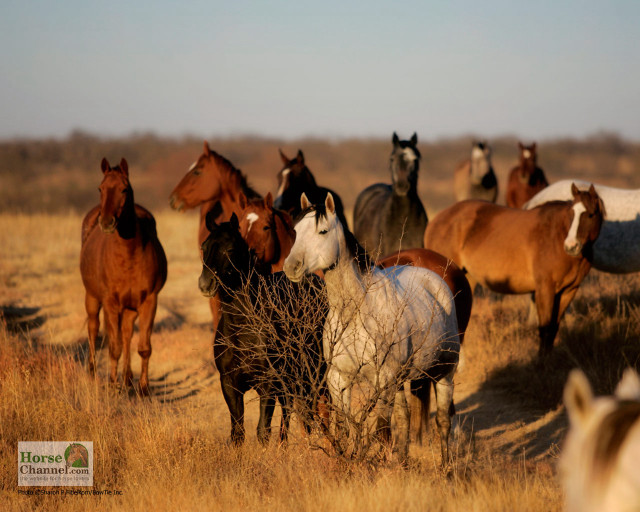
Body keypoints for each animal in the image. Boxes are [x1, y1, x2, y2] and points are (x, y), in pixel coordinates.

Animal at [80, 158, 167, 395]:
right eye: (100, 188)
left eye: (124, 189)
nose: (107, 222)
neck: (128, 255)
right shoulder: (110, 302)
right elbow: (114, 347)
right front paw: (112, 385)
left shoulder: (149, 301)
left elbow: (143, 347)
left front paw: (144, 388)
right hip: (92, 297)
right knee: (94, 329)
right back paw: (93, 372)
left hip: (130, 307)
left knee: (127, 333)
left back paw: (127, 379)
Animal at [198, 213, 327, 445]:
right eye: (204, 246)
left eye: (230, 248)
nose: (206, 284)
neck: (242, 328)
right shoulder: (229, 384)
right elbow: (237, 433)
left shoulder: (268, 385)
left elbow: (263, 431)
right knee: (291, 414)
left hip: (316, 372)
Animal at [284, 193, 459, 463]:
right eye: (295, 231)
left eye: (323, 231)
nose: (291, 267)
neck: (355, 313)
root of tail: (434, 280)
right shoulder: (338, 379)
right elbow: (344, 428)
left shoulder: (383, 381)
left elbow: (380, 429)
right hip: (400, 380)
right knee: (404, 417)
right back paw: (404, 464)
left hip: (444, 372)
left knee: (442, 421)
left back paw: (446, 468)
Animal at [424, 183, 605, 357]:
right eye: (571, 214)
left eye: (590, 214)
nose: (571, 246)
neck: (557, 235)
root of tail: (436, 220)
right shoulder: (545, 289)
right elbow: (545, 328)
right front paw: (541, 362)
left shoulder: (569, 290)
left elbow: (553, 328)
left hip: (468, 280)